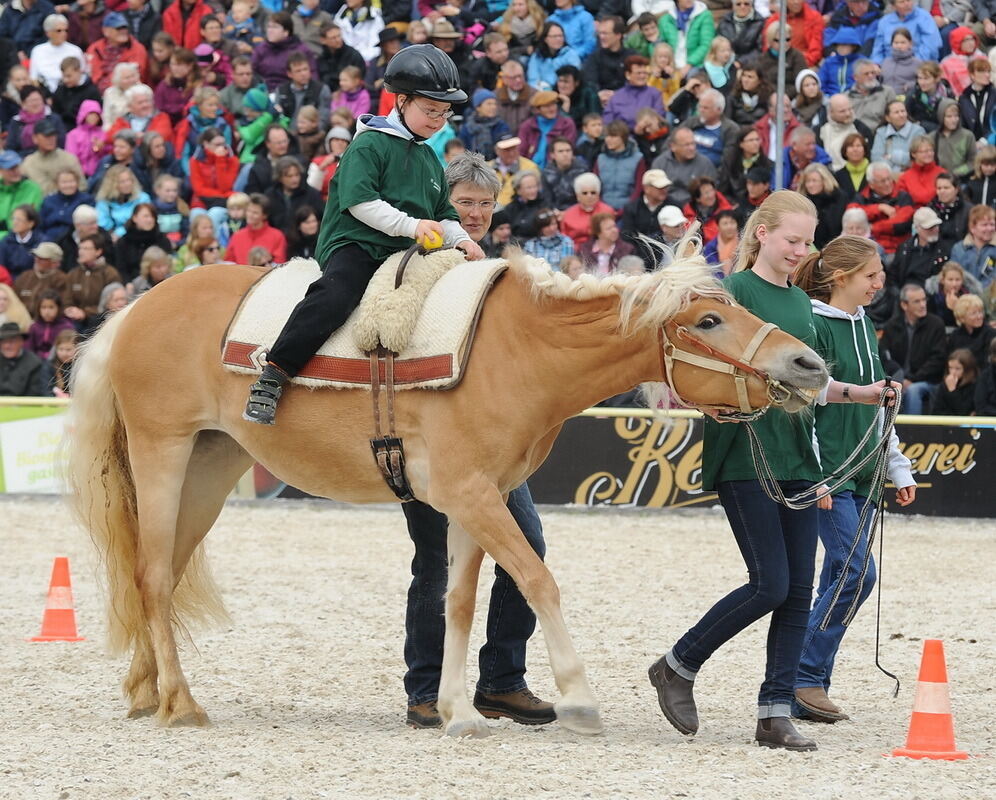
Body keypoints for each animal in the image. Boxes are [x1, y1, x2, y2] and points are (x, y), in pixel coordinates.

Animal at [64, 250, 824, 736]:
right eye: (708, 322)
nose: (809, 364)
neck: (518, 348)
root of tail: (134, 311)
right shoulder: (473, 494)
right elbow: (538, 580)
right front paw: (579, 698)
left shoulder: (472, 500)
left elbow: (457, 602)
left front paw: (458, 713)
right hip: (162, 453)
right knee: (152, 575)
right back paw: (181, 704)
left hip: (210, 467)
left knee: (153, 576)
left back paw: (146, 691)